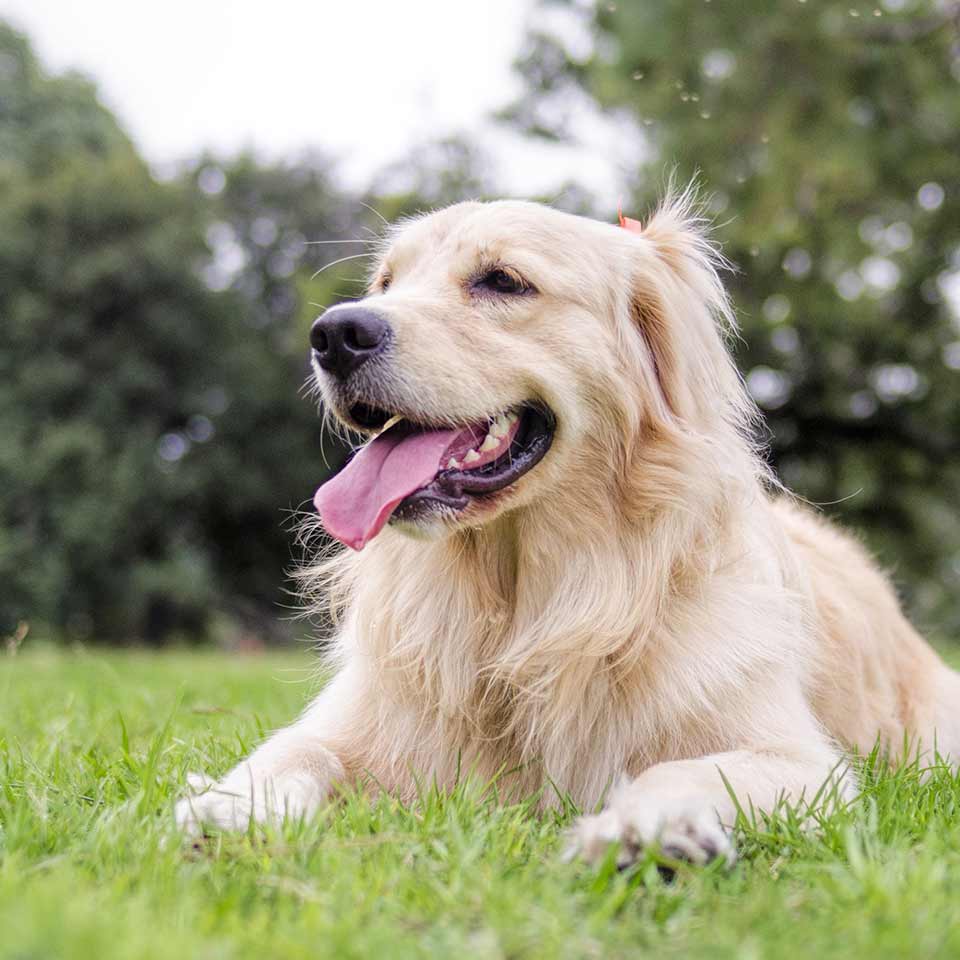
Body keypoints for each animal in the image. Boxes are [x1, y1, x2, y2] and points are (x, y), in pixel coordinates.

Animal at [174, 191, 960, 868]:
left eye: (502, 281)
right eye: (385, 282)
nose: (335, 332)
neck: (530, 602)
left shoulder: (798, 762)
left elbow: (683, 771)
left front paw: (647, 831)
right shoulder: (359, 721)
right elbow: (294, 749)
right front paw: (229, 806)